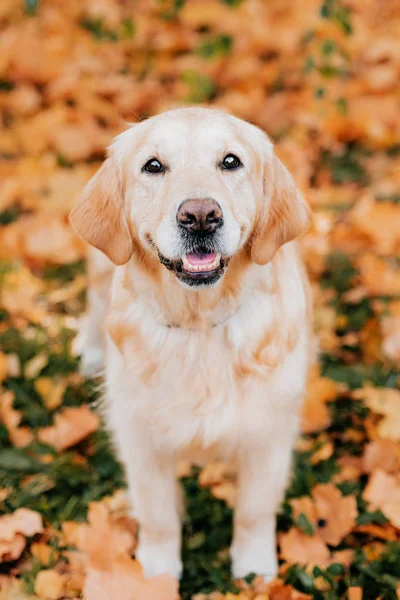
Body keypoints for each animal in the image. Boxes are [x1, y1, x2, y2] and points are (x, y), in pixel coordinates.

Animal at [69, 106, 312, 580]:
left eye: (231, 161)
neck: (200, 323)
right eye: (153, 165)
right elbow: (158, 515)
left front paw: (254, 570)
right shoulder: (141, 439)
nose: (200, 216)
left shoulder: (269, 433)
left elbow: (254, 511)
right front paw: (158, 577)